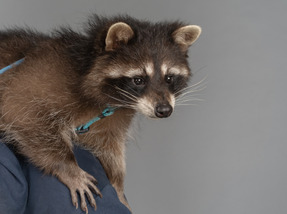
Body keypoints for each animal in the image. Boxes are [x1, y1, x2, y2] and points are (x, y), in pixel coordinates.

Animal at [0, 14, 201, 212]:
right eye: (138, 80)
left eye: (169, 78)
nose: (164, 110)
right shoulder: (37, 81)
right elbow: (22, 113)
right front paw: (68, 167)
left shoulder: (110, 120)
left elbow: (107, 145)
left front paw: (118, 184)